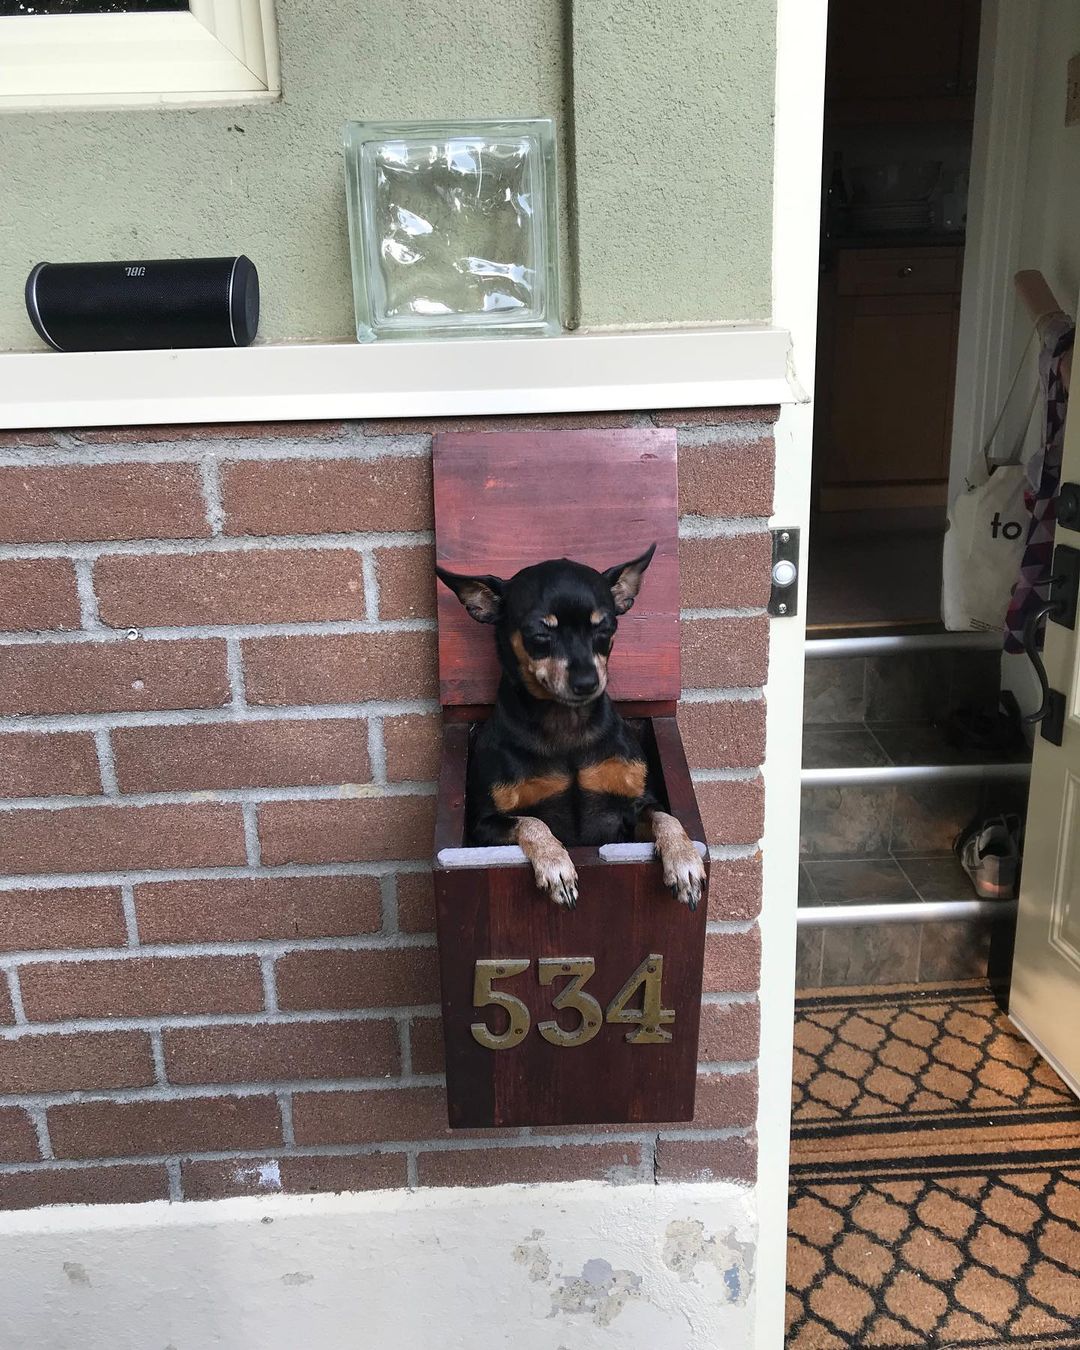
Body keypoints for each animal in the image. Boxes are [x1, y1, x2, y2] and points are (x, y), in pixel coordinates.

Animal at [436, 546, 706, 910]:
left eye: (606, 627)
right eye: (539, 634)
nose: (587, 682)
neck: (566, 725)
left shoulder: (631, 810)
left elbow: (666, 816)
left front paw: (684, 858)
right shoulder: (483, 827)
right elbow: (532, 821)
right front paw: (556, 865)